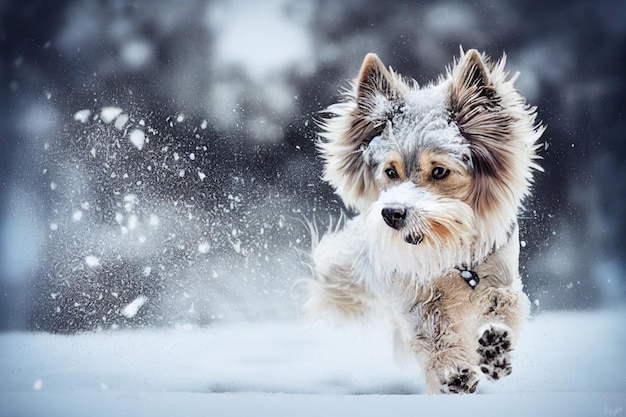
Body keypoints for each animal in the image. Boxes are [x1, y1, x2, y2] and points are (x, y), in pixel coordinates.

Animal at [302, 48, 540, 394]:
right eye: (390, 171)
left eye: (439, 171)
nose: (391, 213)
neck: (450, 256)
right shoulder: (411, 293)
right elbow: (431, 329)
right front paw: (451, 370)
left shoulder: (501, 278)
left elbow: (503, 304)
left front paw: (494, 346)